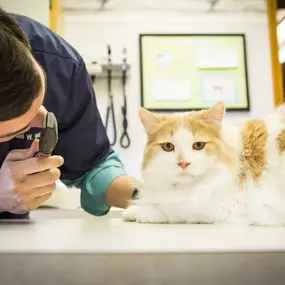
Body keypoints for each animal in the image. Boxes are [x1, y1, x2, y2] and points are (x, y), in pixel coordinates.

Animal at [122, 101, 285, 225]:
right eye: (168, 146)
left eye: (198, 145)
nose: (183, 163)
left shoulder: (222, 207)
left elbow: (172, 210)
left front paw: (137, 212)